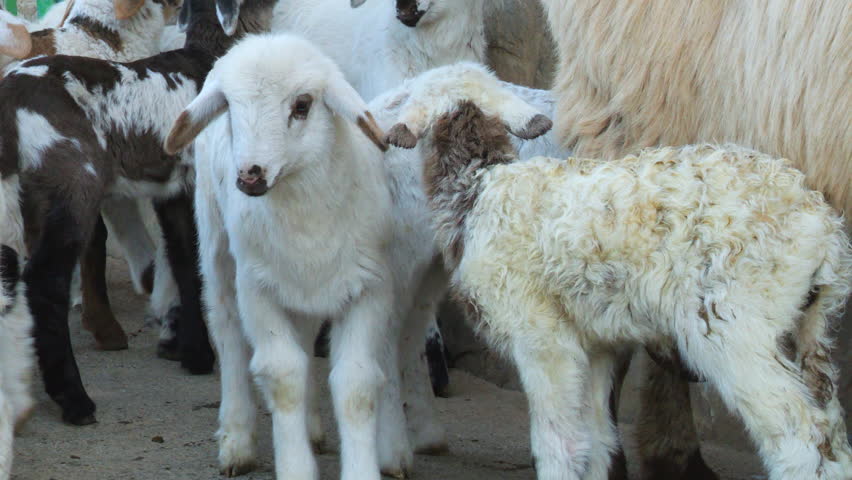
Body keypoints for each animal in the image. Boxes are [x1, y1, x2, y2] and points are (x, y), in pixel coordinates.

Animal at [0, 0, 277, 425]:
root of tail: (11, 101)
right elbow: (196, 262)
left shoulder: (176, 189)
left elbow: (184, 261)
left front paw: (190, 351)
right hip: (75, 176)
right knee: (46, 281)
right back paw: (75, 400)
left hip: (31, 197)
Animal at [383, 63, 852, 480]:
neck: (480, 187)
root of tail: (820, 225)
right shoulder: (595, 344)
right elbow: (596, 442)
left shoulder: (540, 334)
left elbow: (558, 443)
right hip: (809, 325)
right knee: (832, 435)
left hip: (735, 323)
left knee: (799, 436)